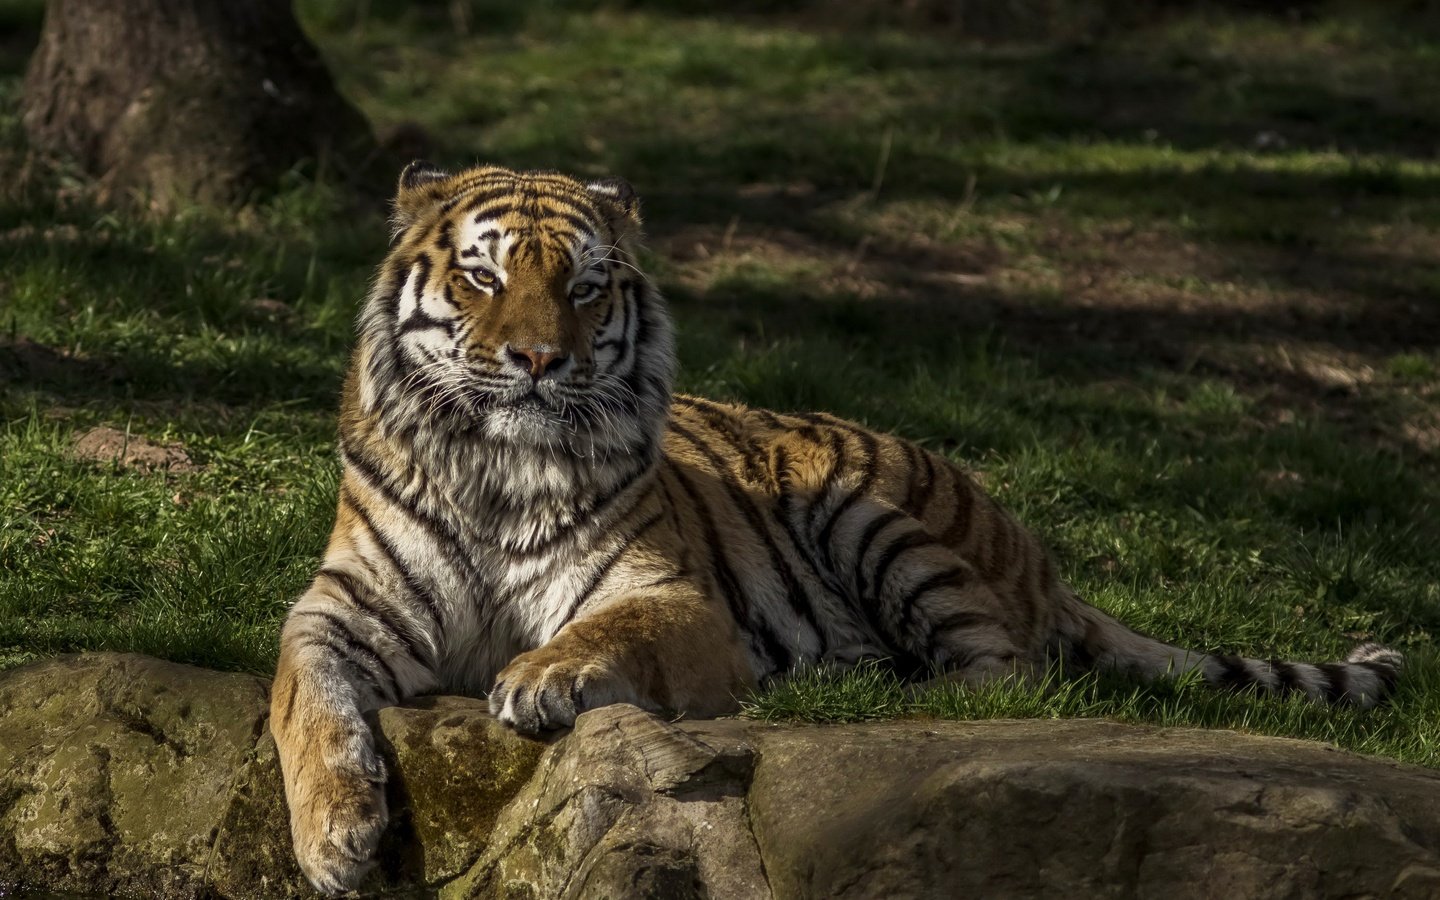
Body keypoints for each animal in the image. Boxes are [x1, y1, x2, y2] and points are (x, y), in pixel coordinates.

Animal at [267, 163, 1393, 892]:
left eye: (584, 287)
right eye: (483, 277)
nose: (541, 361)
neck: (499, 470)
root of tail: (1040, 558)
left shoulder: (669, 598)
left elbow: (606, 631)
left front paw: (541, 677)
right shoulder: (342, 609)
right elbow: (303, 700)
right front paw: (334, 837)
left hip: (862, 506)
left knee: (1003, 676)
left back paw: (853, 694)